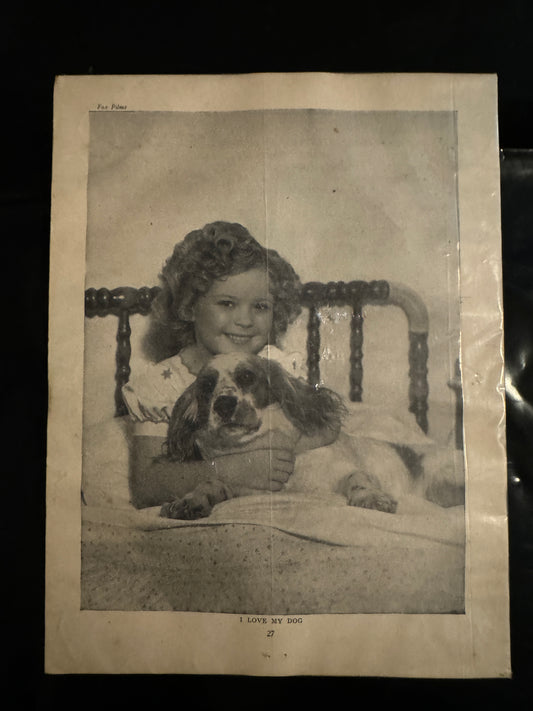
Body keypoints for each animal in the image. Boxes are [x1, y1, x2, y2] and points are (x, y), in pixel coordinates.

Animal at [160, 354, 426, 520]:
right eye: (206, 385)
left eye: (247, 376)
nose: (224, 404)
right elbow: (211, 481)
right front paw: (190, 500)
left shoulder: (342, 471)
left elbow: (357, 477)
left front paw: (370, 496)